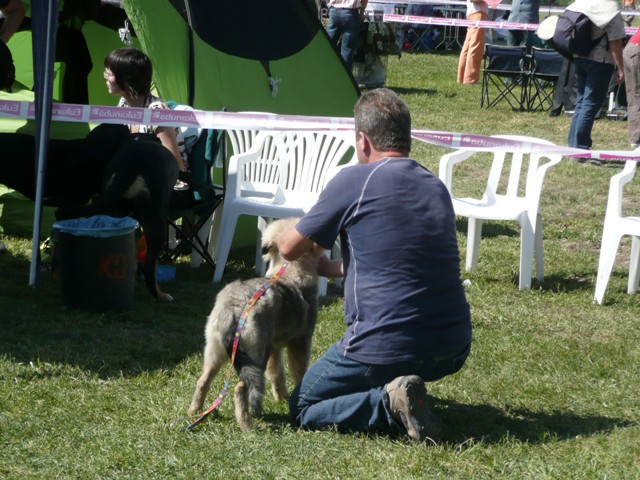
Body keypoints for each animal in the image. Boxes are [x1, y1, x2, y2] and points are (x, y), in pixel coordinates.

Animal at [189, 218, 320, 428]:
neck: (289, 268)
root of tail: (233, 308)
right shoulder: (301, 341)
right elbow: (299, 371)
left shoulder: (274, 348)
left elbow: (277, 374)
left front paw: (282, 397)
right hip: (256, 358)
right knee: (240, 388)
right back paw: (246, 425)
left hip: (215, 351)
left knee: (203, 381)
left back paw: (194, 412)